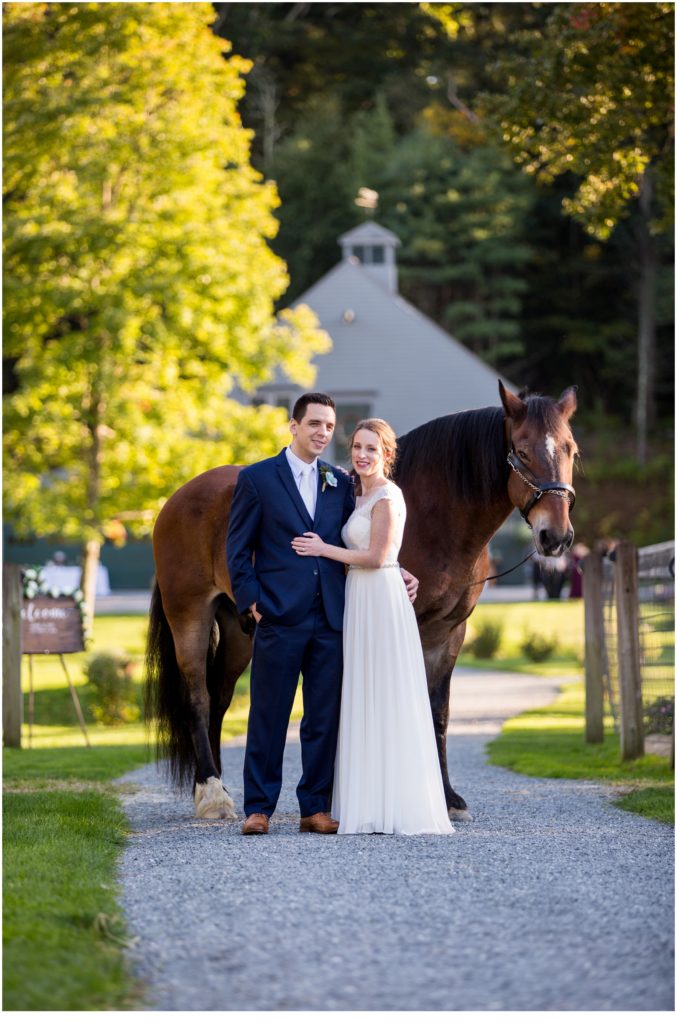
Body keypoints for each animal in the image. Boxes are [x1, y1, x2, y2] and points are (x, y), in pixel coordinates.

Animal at [142, 385, 577, 823]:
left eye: (571, 450)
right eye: (521, 451)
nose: (555, 536)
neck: (433, 518)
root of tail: (177, 499)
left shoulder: (450, 632)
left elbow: (437, 712)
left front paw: (448, 799)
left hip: (239, 629)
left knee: (219, 697)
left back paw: (216, 788)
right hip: (190, 616)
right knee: (198, 698)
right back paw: (213, 794)